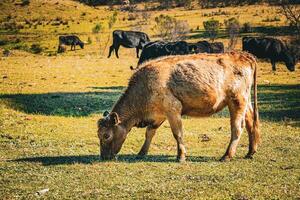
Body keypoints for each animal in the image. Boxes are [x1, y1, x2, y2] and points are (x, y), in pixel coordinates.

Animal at [97, 50, 258, 162]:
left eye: (106, 135)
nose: (104, 157)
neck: (144, 87)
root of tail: (244, 55)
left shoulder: (173, 110)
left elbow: (177, 133)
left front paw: (180, 156)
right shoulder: (158, 115)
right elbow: (149, 132)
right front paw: (141, 153)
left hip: (236, 101)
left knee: (237, 127)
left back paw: (227, 156)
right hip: (246, 102)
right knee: (252, 123)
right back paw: (250, 152)